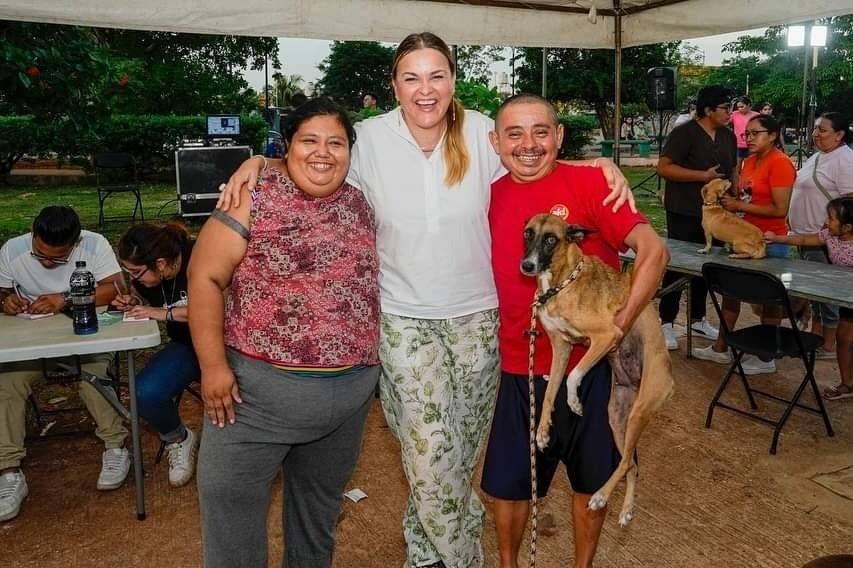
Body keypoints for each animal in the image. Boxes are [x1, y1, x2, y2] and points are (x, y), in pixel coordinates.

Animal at [520, 213, 672, 528]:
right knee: (632, 464)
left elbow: (574, 376)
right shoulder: (562, 347)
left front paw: (574, 401)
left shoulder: (605, 336)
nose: (526, 265)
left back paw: (601, 496)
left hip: (640, 411)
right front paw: (542, 431)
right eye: (528, 234)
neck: (561, 283)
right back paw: (626, 510)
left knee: (625, 462)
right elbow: (550, 391)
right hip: (617, 417)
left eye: (551, 239)